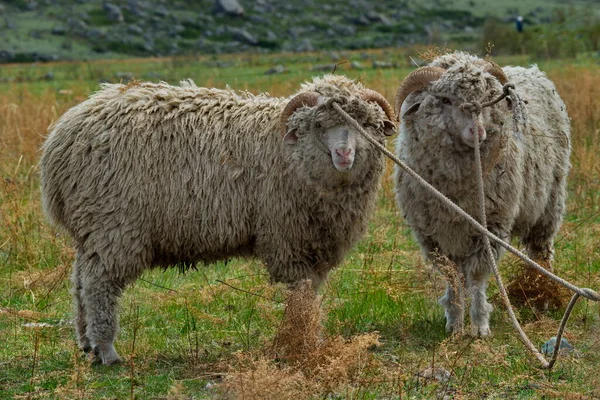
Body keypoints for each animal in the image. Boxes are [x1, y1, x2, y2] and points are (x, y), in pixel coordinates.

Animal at [39, 73, 398, 364]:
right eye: (320, 125)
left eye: (364, 124)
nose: (344, 154)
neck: (288, 151)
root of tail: (60, 140)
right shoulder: (287, 239)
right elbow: (301, 295)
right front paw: (303, 340)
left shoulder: (315, 243)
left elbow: (311, 293)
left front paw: (311, 336)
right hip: (113, 225)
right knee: (99, 285)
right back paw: (107, 350)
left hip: (92, 229)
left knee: (80, 281)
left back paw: (87, 344)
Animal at [394, 50, 572, 338]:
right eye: (445, 100)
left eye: (488, 98)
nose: (477, 131)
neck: (455, 191)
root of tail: (532, 69)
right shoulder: (432, 234)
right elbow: (452, 276)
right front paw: (455, 323)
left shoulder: (491, 225)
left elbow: (477, 276)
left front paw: (479, 325)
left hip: (550, 202)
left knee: (540, 250)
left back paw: (542, 295)